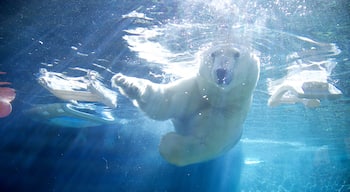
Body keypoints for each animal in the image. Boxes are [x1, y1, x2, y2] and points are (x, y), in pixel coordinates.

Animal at [112, 44, 260, 166]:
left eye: (237, 54)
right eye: (213, 54)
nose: (221, 72)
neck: (214, 98)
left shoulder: (228, 115)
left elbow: (204, 145)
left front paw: (167, 140)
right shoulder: (194, 90)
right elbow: (164, 102)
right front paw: (126, 82)